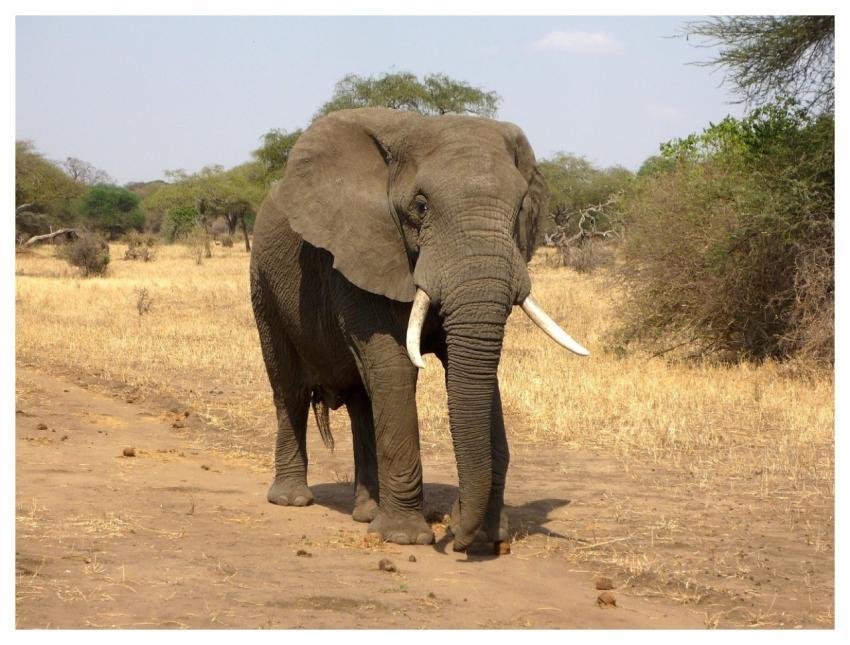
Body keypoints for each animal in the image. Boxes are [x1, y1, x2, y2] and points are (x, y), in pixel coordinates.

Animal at [249, 107, 588, 552]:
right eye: (421, 206)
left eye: (519, 209)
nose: (457, 535)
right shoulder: (361, 250)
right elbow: (396, 367)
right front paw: (405, 538)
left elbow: (473, 372)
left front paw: (486, 536)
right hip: (263, 283)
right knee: (288, 387)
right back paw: (292, 500)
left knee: (362, 399)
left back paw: (366, 513)